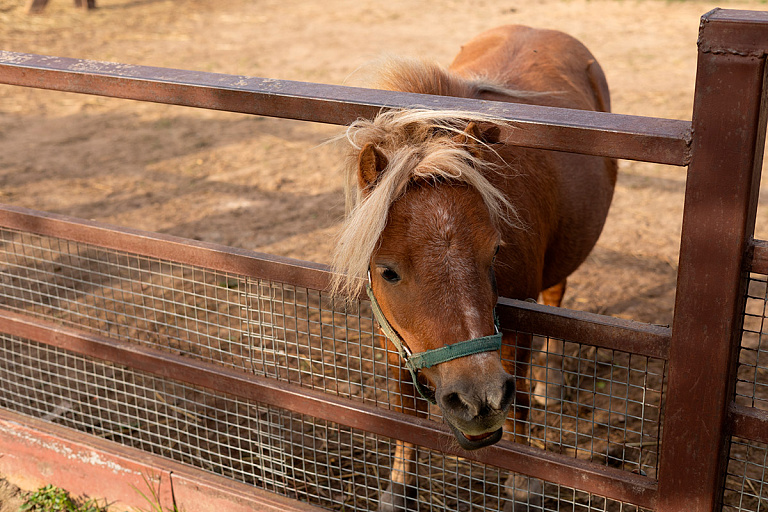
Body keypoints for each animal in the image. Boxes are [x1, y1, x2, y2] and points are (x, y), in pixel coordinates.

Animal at [332, 25, 616, 512]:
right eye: (388, 271)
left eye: (494, 252)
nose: (477, 399)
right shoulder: (394, 338)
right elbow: (406, 411)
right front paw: (400, 488)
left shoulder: (517, 327)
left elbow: (519, 398)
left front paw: (523, 481)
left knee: (557, 295)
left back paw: (553, 381)